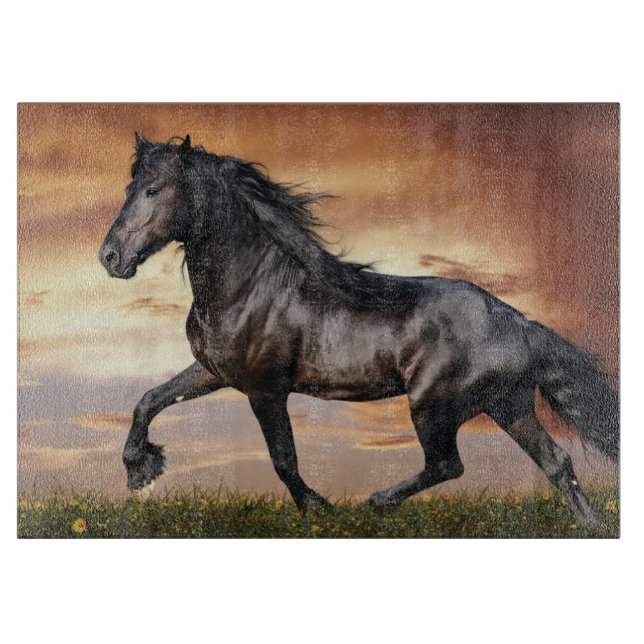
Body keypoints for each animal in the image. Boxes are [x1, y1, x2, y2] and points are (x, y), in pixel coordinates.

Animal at [99, 134, 618, 524]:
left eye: (154, 189)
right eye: (129, 188)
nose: (110, 257)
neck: (251, 285)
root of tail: (517, 322)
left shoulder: (266, 389)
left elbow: (283, 460)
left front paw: (319, 510)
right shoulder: (214, 373)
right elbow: (148, 401)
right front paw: (140, 470)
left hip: (433, 405)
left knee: (448, 464)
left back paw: (376, 501)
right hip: (508, 405)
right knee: (557, 463)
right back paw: (589, 525)